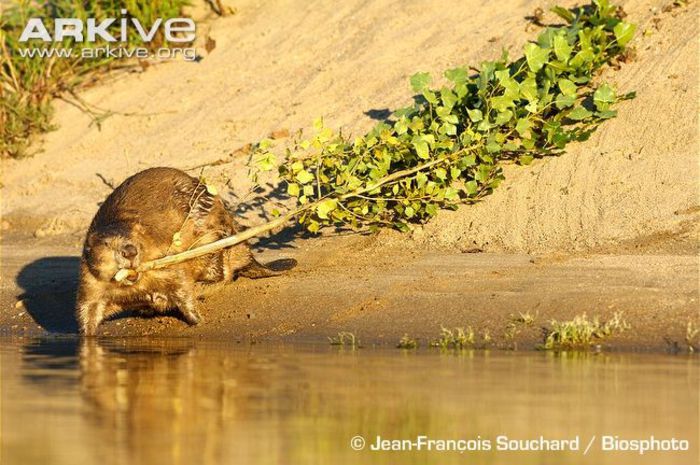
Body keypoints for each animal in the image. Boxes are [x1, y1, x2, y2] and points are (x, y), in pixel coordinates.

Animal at [76, 167, 296, 334]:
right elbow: (88, 309)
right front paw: (88, 336)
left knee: (221, 271)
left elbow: (182, 286)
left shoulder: (167, 258)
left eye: (137, 237)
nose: (129, 251)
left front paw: (196, 318)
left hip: (213, 236)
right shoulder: (89, 281)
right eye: (107, 244)